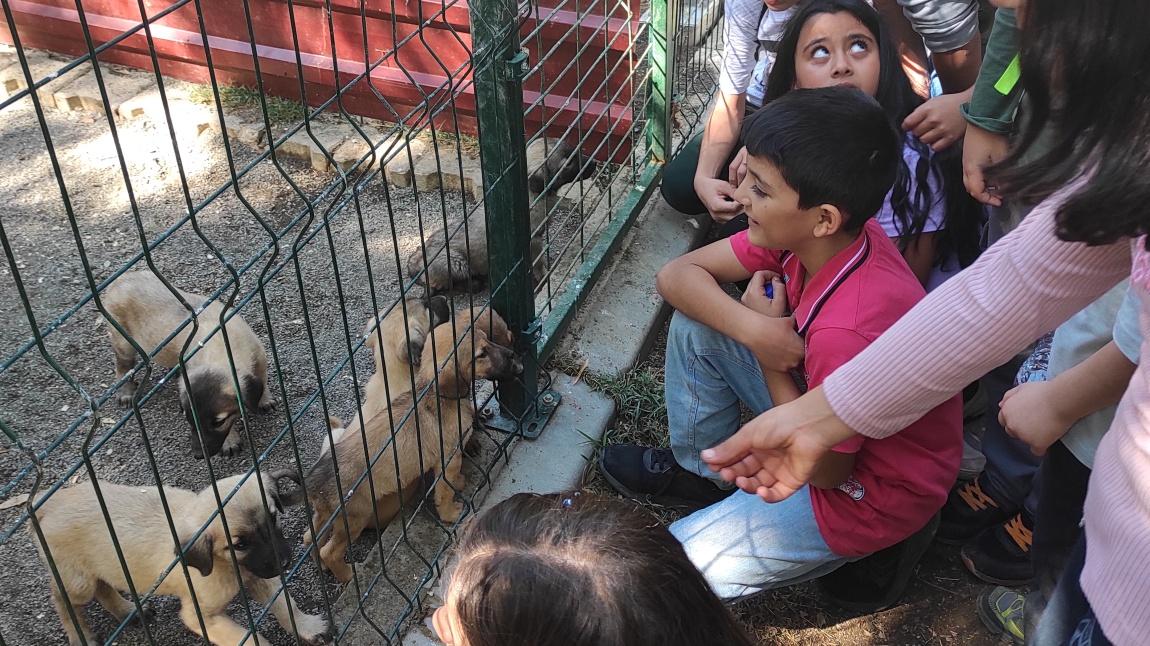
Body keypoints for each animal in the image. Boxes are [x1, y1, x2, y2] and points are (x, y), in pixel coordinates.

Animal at [33, 466, 331, 643]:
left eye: (273, 518)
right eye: (239, 544)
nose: (285, 562)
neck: (224, 565)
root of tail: (48, 504)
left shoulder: (259, 576)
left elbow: (285, 604)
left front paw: (307, 626)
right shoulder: (202, 617)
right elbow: (247, 637)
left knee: (103, 587)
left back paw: (128, 610)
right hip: (78, 581)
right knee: (60, 597)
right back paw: (80, 634)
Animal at [102, 270, 273, 457]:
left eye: (218, 422)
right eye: (189, 419)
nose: (199, 455)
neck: (218, 344)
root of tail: (117, 282)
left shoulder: (259, 355)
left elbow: (262, 379)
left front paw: (264, 400)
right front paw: (230, 441)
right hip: (123, 342)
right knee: (123, 366)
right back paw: (125, 392)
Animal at [305, 305, 522, 579]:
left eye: (486, 338)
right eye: (480, 354)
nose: (513, 355)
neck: (434, 393)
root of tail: (314, 482)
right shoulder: (448, 458)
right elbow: (445, 489)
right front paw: (451, 512)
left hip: (325, 518)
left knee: (308, 539)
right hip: (355, 516)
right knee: (330, 551)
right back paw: (348, 575)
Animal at [404, 139, 598, 296]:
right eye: (568, 164)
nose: (594, 163)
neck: (532, 194)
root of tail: (416, 265)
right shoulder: (534, 241)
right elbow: (538, 263)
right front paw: (543, 277)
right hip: (455, 262)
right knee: (447, 286)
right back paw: (475, 283)